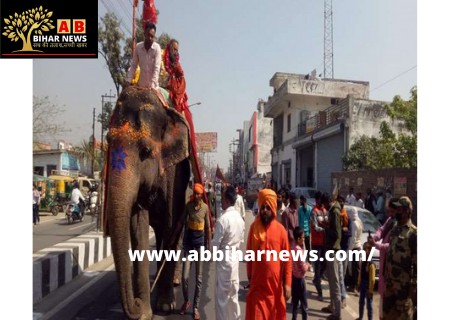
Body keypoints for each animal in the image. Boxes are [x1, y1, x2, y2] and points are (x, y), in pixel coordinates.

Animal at [106, 86, 191, 318]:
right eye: (107, 141)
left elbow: (171, 222)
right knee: (161, 235)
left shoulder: (175, 174)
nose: (134, 303)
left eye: (145, 151)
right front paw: (145, 312)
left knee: (174, 234)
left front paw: (165, 306)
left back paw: (174, 281)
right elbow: (138, 226)